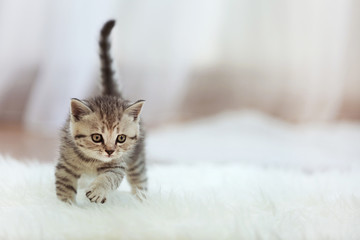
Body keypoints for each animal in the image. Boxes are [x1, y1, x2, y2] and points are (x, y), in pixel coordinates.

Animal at [55, 19, 148, 204]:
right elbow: (64, 186)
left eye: (121, 138)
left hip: (136, 158)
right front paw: (66, 206)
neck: (91, 161)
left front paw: (98, 191)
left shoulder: (117, 164)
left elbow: (109, 177)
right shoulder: (65, 164)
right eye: (96, 137)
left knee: (140, 179)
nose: (110, 151)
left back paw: (142, 199)